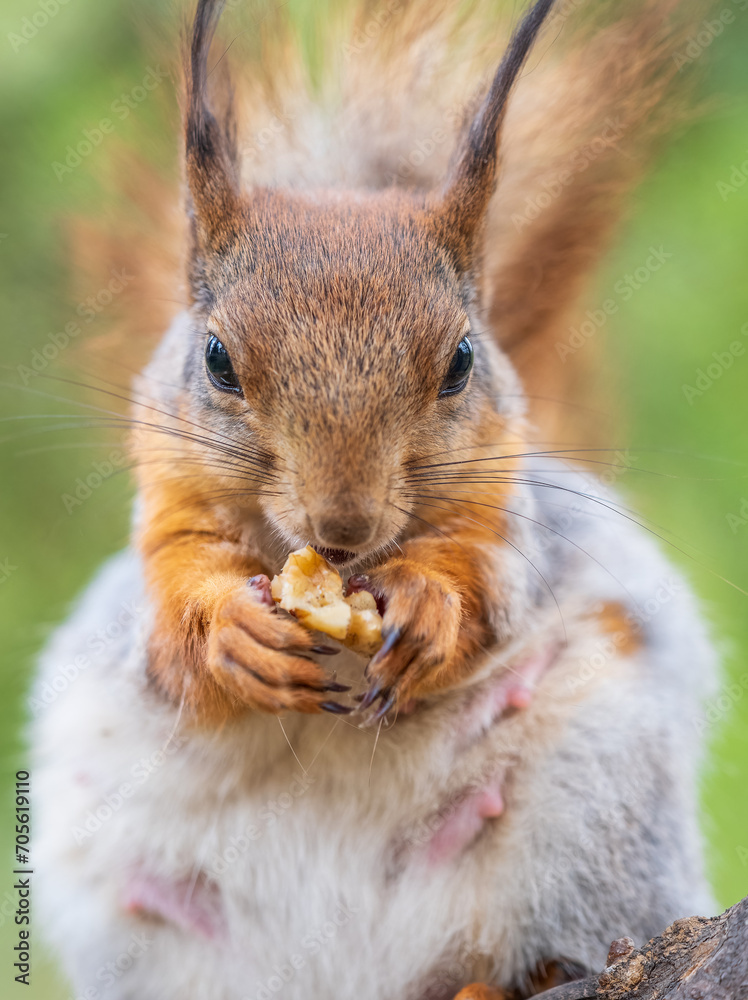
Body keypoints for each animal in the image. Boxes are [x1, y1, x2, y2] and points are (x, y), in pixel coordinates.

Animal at [32, 1, 719, 998]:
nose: (344, 524)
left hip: (592, 801)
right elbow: (170, 644)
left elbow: (485, 587)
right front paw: (232, 632)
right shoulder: (164, 527)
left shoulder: (512, 524)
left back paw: (508, 978)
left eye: (462, 360)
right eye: (217, 359)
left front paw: (430, 608)